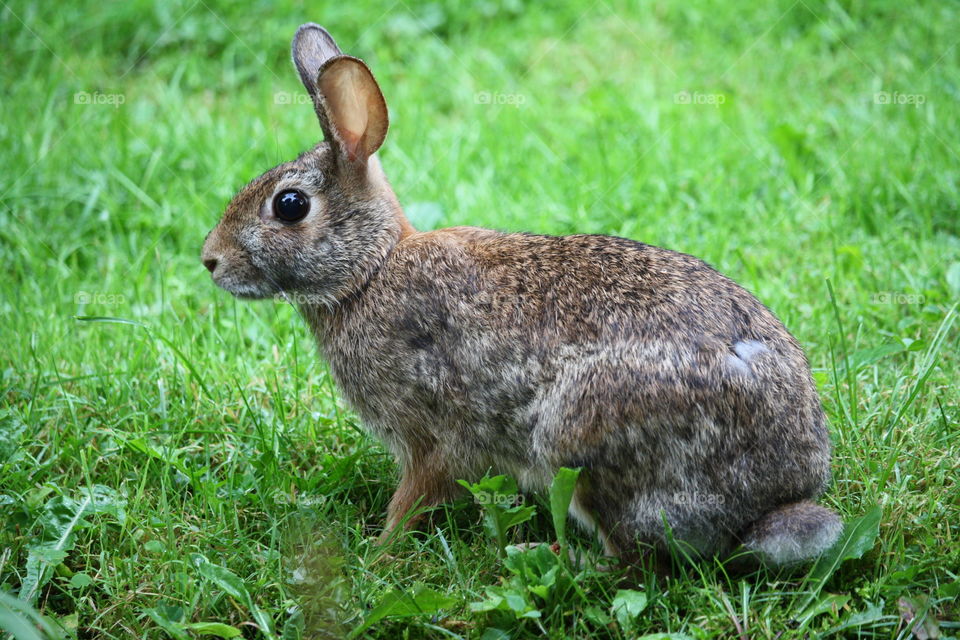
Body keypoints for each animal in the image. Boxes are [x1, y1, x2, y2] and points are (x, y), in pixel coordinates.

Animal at [201, 22, 840, 568]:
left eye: (289, 206)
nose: (210, 260)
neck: (369, 271)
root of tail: (775, 496)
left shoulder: (432, 437)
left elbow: (414, 496)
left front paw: (376, 553)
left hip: (578, 436)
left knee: (630, 562)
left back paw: (544, 554)